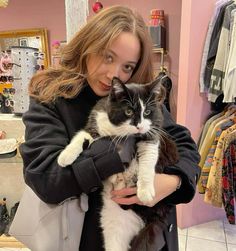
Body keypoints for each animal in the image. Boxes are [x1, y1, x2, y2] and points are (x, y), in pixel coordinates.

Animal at [58, 77, 178, 251]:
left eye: (147, 112)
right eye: (128, 111)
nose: (139, 126)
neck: (120, 131)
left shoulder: (152, 135)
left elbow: (148, 160)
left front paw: (145, 191)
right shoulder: (95, 122)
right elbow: (82, 136)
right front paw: (65, 156)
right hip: (113, 223)